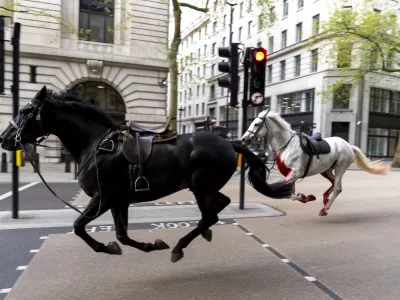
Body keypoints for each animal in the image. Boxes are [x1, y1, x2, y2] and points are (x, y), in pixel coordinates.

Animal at [1, 86, 292, 262]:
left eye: (26, 111)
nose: (5, 138)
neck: (95, 145)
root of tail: (229, 143)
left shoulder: (103, 198)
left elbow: (78, 227)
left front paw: (105, 247)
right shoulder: (119, 200)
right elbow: (122, 235)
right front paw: (147, 245)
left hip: (201, 186)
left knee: (210, 215)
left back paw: (180, 246)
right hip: (202, 187)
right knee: (219, 207)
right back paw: (202, 233)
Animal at [241, 110, 390, 216]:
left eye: (256, 124)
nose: (243, 139)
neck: (286, 145)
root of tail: (348, 145)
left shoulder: (295, 172)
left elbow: (283, 191)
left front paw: (305, 196)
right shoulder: (291, 174)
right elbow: (290, 193)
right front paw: (305, 197)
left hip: (340, 168)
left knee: (337, 188)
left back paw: (325, 208)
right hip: (326, 170)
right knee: (334, 184)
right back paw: (325, 200)